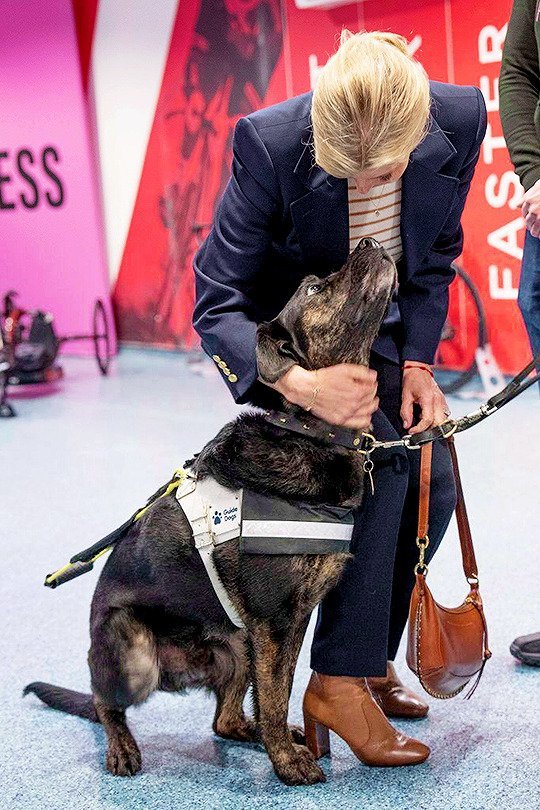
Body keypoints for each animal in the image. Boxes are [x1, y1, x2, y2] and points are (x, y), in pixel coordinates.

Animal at [24, 237, 395, 786]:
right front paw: (287, 762)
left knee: (223, 719)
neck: (308, 432)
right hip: (133, 652)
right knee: (103, 699)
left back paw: (248, 733)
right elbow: (275, 695)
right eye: (312, 287)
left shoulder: (285, 623)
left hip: (236, 642)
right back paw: (121, 746)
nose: (370, 241)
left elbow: (277, 692)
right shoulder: (272, 622)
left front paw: (281, 746)